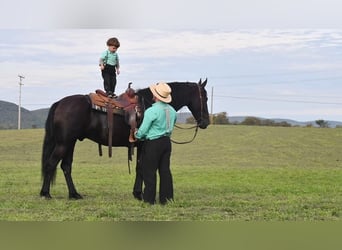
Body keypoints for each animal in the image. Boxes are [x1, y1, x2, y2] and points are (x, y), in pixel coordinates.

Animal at [41, 78, 210, 199]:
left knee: (66, 166)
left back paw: (74, 194)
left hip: (70, 143)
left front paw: (137, 192)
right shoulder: (143, 145)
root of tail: (60, 103)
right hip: (64, 143)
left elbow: (139, 167)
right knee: (51, 164)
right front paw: (139, 194)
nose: (206, 122)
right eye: (205, 97)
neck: (149, 104)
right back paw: (45, 193)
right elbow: (141, 167)